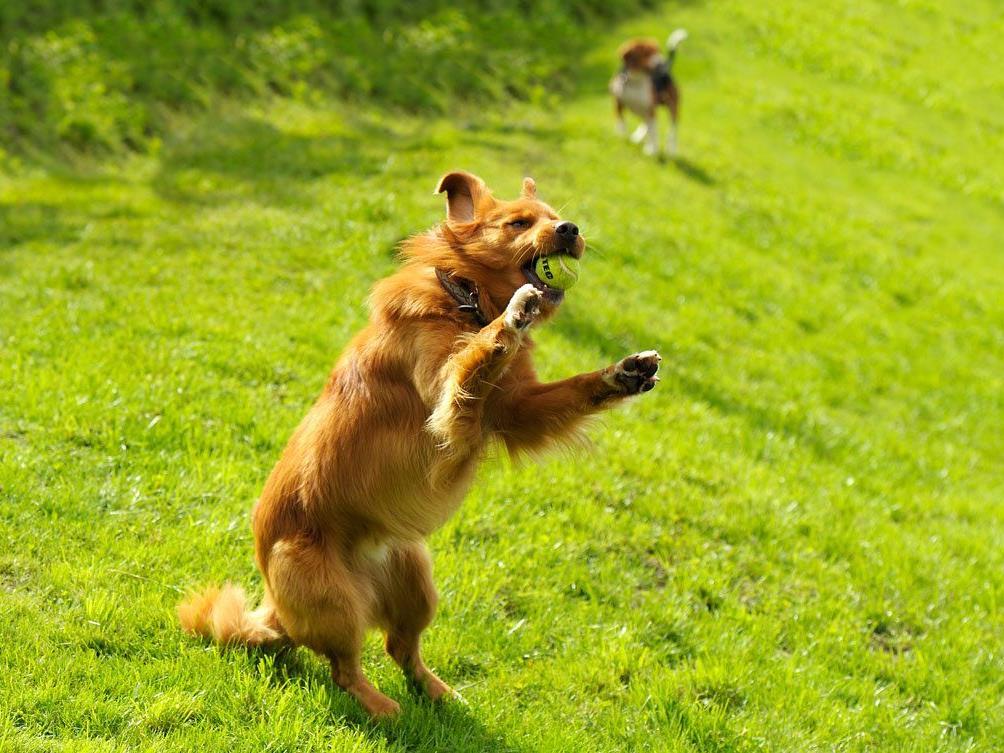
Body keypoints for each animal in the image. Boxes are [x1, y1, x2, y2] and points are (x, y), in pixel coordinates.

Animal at [180, 172, 662, 718]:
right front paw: (512, 317)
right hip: (330, 598)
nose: (570, 229)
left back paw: (437, 693)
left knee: (400, 646)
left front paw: (623, 373)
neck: (464, 301)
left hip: (415, 580)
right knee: (344, 667)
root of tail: (275, 609)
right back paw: (380, 706)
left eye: (556, 216)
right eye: (518, 223)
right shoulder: (449, 405)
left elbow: (569, 389)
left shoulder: (516, 410)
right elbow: (478, 357)